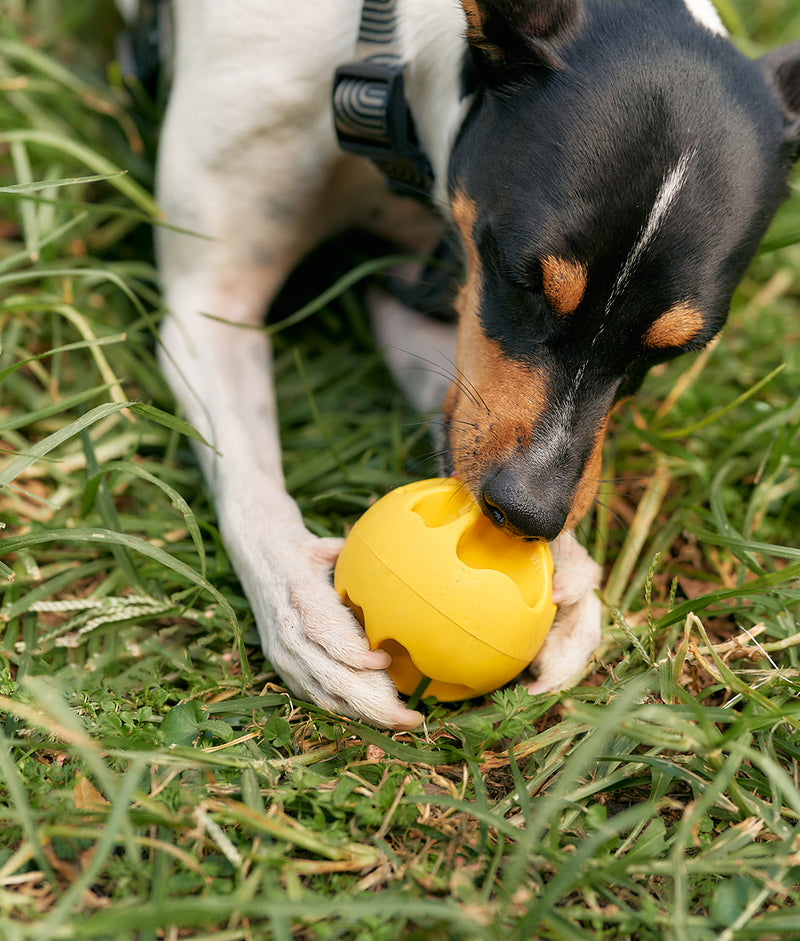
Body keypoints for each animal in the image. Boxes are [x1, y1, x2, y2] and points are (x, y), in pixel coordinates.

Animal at [142, 0, 800, 732]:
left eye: (672, 350)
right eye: (526, 279)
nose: (530, 515)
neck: (381, 69)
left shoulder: (432, 287)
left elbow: (463, 418)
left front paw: (568, 569)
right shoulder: (212, 304)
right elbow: (247, 472)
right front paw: (300, 606)